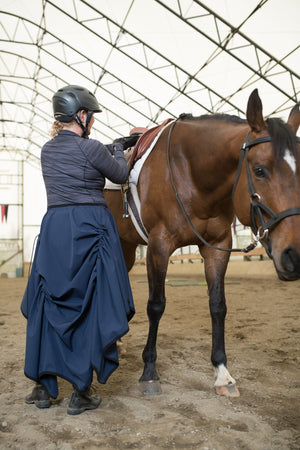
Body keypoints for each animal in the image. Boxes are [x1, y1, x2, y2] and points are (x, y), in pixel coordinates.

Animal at [103, 89, 300, 398]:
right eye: (259, 170)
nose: (294, 255)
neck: (190, 172)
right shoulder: (159, 246)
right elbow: (156, 305)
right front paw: (149, 372)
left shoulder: (216, 245)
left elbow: (217, 305)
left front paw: (222, 373)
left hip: (126, 245)